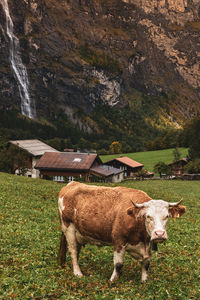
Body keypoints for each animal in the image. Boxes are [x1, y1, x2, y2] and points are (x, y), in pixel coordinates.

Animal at [57, 182, 186, 282]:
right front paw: (113, 280)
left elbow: (146, 264)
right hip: (68, 228)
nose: (159, 234)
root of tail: (72, 184)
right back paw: (78, 273)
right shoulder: (119, 240)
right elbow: (118, 264)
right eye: (148, 216)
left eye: (167, 216)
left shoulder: (147, 246)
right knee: (73, 251)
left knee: (76, 250)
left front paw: (144, 281)